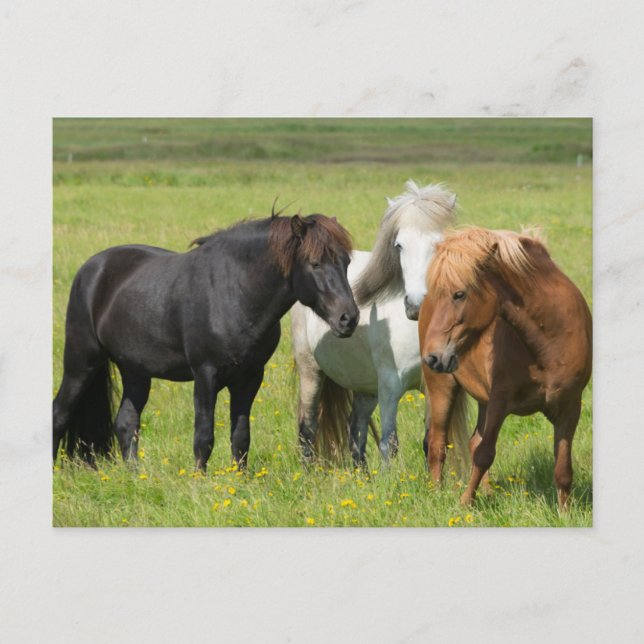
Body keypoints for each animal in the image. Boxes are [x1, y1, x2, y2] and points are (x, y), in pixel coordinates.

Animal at [53, 210, 359, 471]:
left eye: (346, 262)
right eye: (315, 263)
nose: (349, 318)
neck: (234, 292)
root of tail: (91, 269)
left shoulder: (249, 378)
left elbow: (241, 436)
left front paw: (240, 480)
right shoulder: (205, 375)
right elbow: (204, 437)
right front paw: (200, 481)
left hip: (135, 371)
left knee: (126, 423)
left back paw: (135, 475)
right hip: (81, 364)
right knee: (59, 412)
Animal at [292, 180, 469, 468]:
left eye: (439, 244)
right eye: (399, 245)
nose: (416, 306)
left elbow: (431, 442)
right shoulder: (390, 385)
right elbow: (389, 443)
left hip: (366, 387)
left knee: (356, 429)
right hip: (311, 372)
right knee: (307, 429)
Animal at [419, 227, 592, 510]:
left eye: (459, 294)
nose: (432, 357)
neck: (548, 342)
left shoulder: (570, 406)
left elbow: (563, 468)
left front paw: (565, 512)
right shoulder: (500, 400)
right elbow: (484, 453)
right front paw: (464, 504)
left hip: (483, 400)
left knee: (471, 441)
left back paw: (488, 494)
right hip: (442, 388)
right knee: (438, 443)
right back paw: (435, 493)